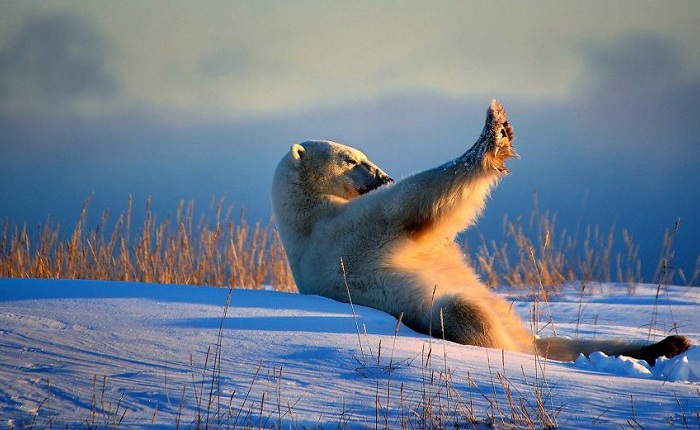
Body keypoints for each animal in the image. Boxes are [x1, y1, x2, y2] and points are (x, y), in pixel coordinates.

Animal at [270, 100, 692, 362]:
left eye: (361, 154)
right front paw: (494, 133)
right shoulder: (342, 236)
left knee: (571, 341)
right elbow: (409, 202)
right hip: (445, 312)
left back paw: (669, 343)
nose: (383, 176)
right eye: (350, 159)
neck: (305, 220)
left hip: (523, 325)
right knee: (467, 313)